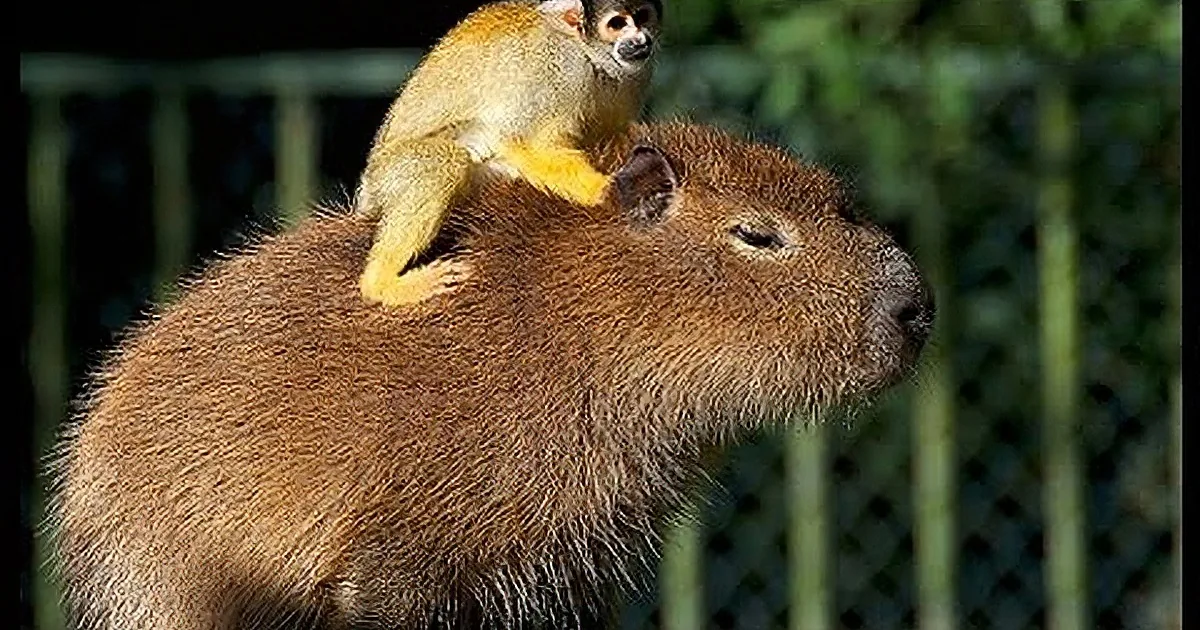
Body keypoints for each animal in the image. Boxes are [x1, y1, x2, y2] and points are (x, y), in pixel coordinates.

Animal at [355, 0, 663, 307]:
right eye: (616, 24)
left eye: (642, 16)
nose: (640, 40)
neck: (591, 55)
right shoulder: (561, 70)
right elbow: (528, 142)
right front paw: (607, 189)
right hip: (388, 175)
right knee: (447, 161)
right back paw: (381, 283)